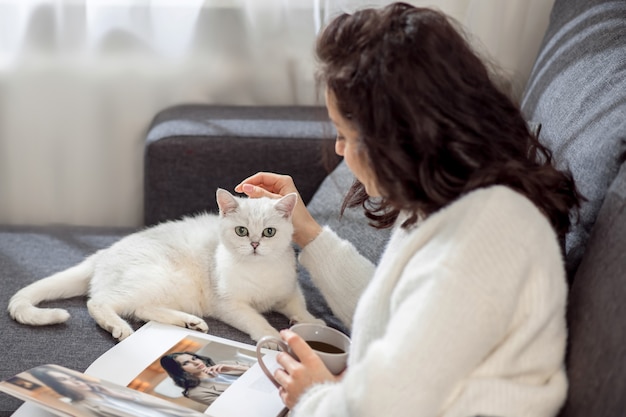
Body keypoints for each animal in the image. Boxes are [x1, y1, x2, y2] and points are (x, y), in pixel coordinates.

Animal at [8, 188, 322, 342]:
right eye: (241, 231)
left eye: (269, 232)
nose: (255, 244)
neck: (259, 271)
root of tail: (103, 253)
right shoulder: (230, 305)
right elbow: (257, 320)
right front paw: (273, 337)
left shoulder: (289, 291)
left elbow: (299, 306)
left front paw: (313, 322)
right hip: (158, 277)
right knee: (100, 302)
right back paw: (118, 327)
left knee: (142, 309)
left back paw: (189, 321)